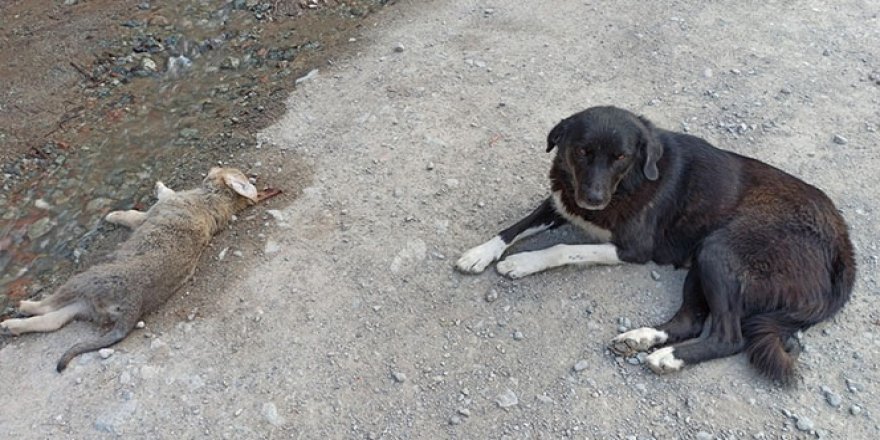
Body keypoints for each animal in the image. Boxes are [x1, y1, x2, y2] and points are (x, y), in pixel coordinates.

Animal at [0, 168, 280, 372]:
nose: (211, 169)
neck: (214, 200)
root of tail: (131, 306)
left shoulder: (147, 215)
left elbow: (135, 212)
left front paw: (117, 212)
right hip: (85, 304)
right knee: (51, 321)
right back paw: (13, 326)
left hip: (84, 281)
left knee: (47, 308)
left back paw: (21, 309)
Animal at [458, 105, 856, 382]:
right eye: (582, 151)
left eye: (620, 156)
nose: (593, 199)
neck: (629, 182)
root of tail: (842, 240)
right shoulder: (561, 202)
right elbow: (514, 228)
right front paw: (479, 254)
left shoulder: (633, 248)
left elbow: (562, 249)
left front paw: (522, 262)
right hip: (702, 259)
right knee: (691, 322)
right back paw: (640, 339)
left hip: (719, 250)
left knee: (729, 336)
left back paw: (670, 358)